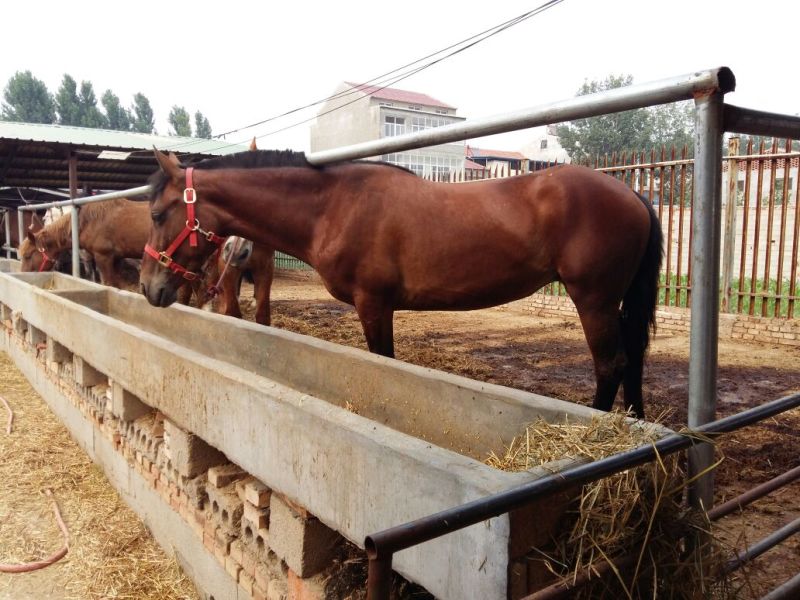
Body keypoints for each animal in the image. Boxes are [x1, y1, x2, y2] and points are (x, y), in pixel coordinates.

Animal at [141, 149, 663, 418]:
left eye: (158, 213)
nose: (149, 287)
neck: (333, 205)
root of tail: (633, 194)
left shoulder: (373, 304)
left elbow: (385, 362)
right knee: (634, 357)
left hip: (592, 299)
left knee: (611, 364)